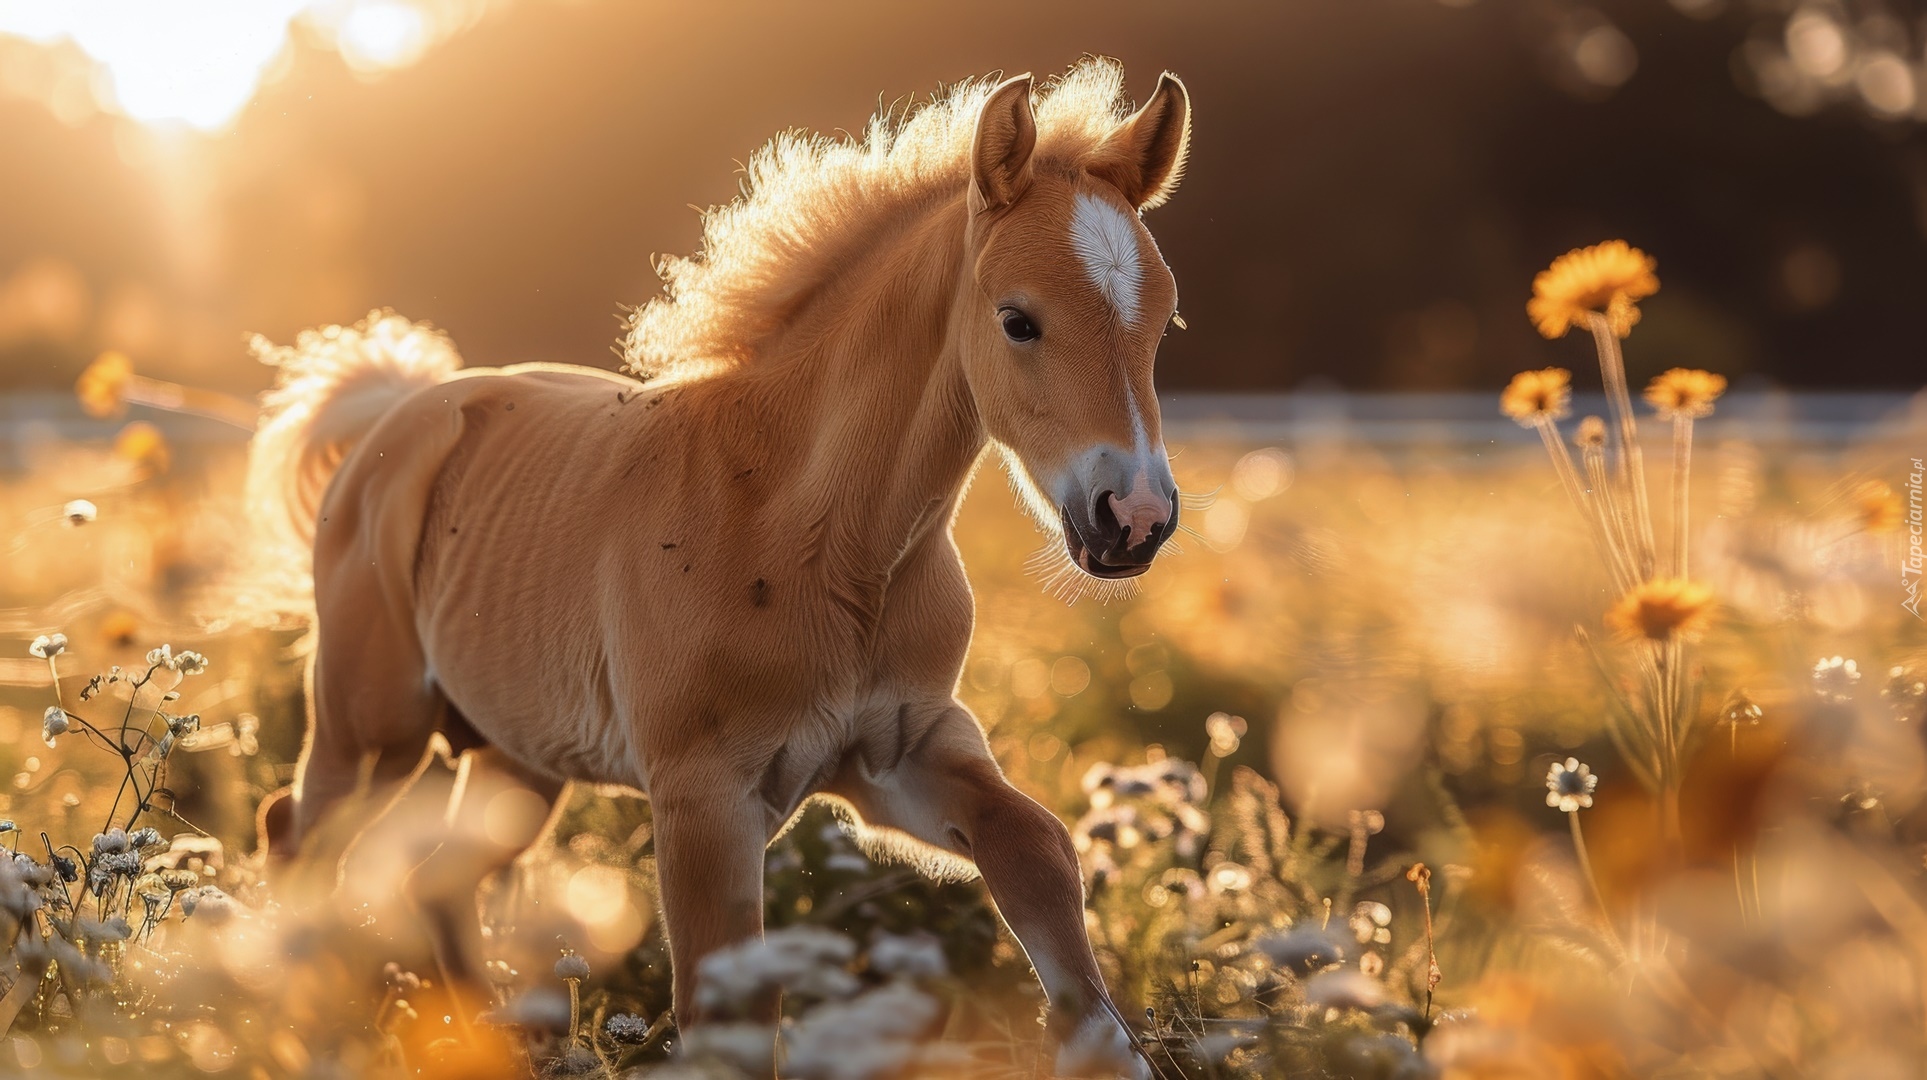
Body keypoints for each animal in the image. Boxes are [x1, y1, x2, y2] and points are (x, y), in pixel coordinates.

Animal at [256, 63, 1187, 1072]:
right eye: (1018, 321)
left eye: (1162, 323)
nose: (1134, 519)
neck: (813, 538)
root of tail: (399, 411)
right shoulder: (702, 800)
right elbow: (726, 1005)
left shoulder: (897, 752)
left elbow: (1037, 849)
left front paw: (1106, 1048)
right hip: (370, 729)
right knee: (299, 838)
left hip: (519, 758)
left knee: (433, 877)